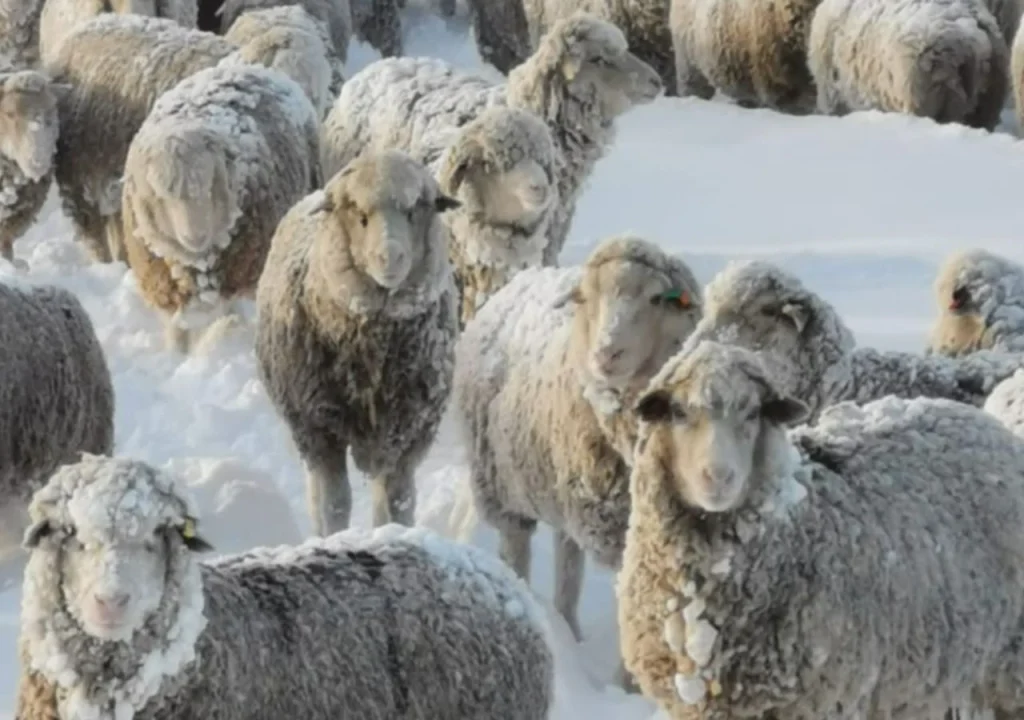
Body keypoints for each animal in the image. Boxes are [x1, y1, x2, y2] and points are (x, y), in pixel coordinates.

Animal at [121, 63, 322, 353]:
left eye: (209, 185)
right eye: (161, 195)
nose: (195, 236)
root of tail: (251, 66)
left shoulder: (235, 279)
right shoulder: (165, 288)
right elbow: (176, 333)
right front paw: (178, 356)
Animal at [255, 150, 461, 535]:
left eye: (413, 211)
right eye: (361, 218)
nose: (390, 258)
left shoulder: (406, 430)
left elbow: (396, 501)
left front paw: (390, 534)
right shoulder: (320, 427)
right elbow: (335, 503)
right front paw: (335, 537)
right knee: (317, 495)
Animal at [452, 235, 702, 669]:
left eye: (656, 298)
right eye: (587, 297)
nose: (606, 354)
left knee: (567, 573)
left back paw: (570, 633)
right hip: (501, 489)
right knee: (517, 552)